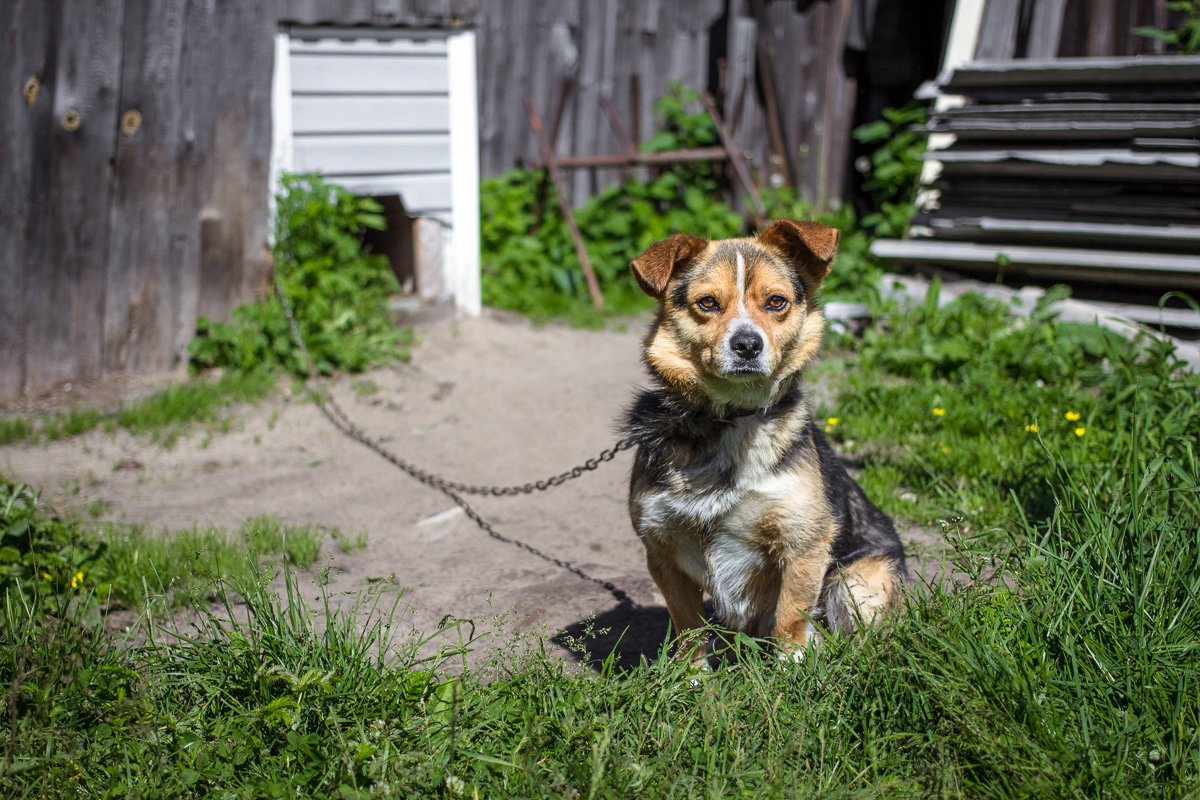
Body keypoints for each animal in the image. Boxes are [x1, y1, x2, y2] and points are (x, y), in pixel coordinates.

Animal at [624, 217, 902, 662]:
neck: (730, 420)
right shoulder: (661, 548)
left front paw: (793, 670)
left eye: (776, 302)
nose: (747, 344)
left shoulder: (804, 543)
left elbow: (790, 618)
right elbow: (687, 628)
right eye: (707, 303)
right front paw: (691, 676)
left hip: (858, 582)